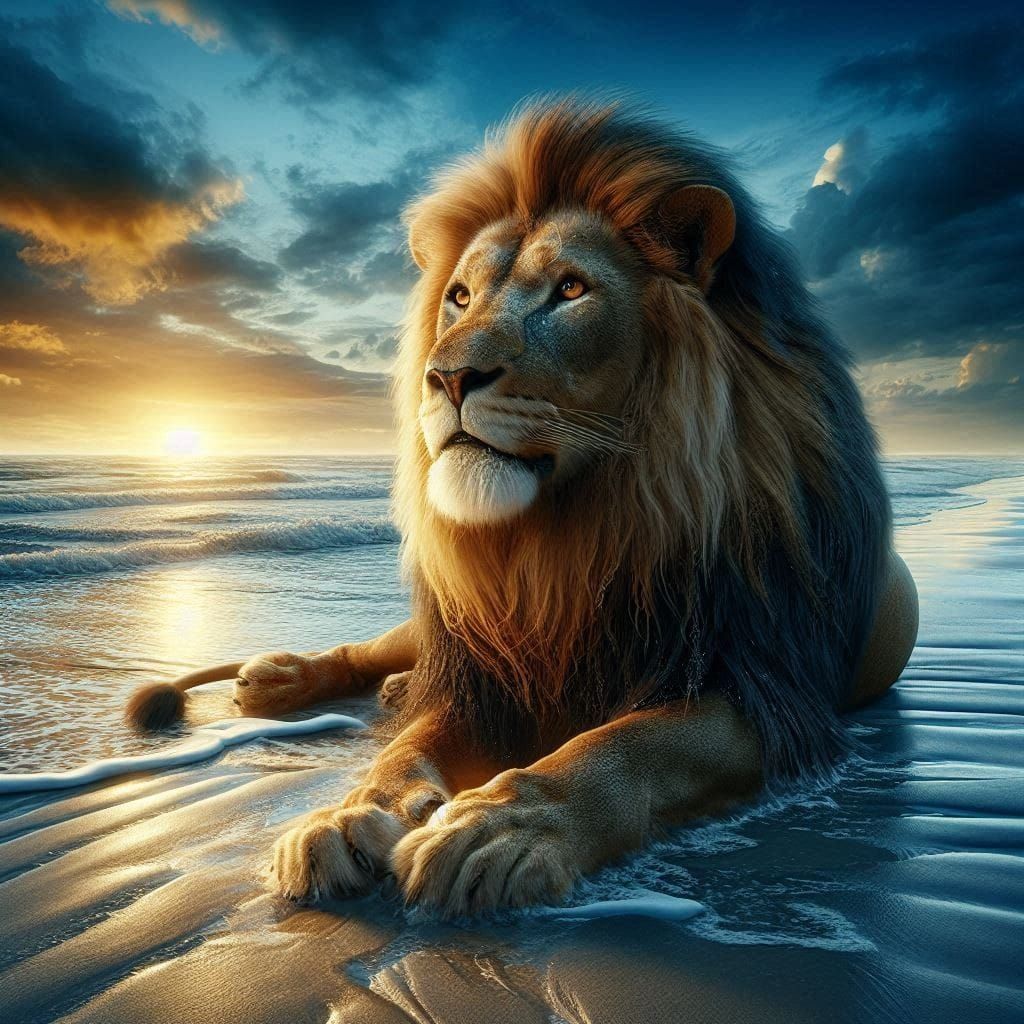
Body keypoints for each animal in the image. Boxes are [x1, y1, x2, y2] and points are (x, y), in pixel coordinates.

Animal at [126, 99, 918, 917]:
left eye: (570, 290)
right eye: (460, 297)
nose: (446, 377)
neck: (577, 533)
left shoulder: (770, 692)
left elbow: (628, 745)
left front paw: (503, 826)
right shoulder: (486, 679)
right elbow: (403, 752)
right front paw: (347, 814)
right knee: (382, 651)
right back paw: (289, 678)